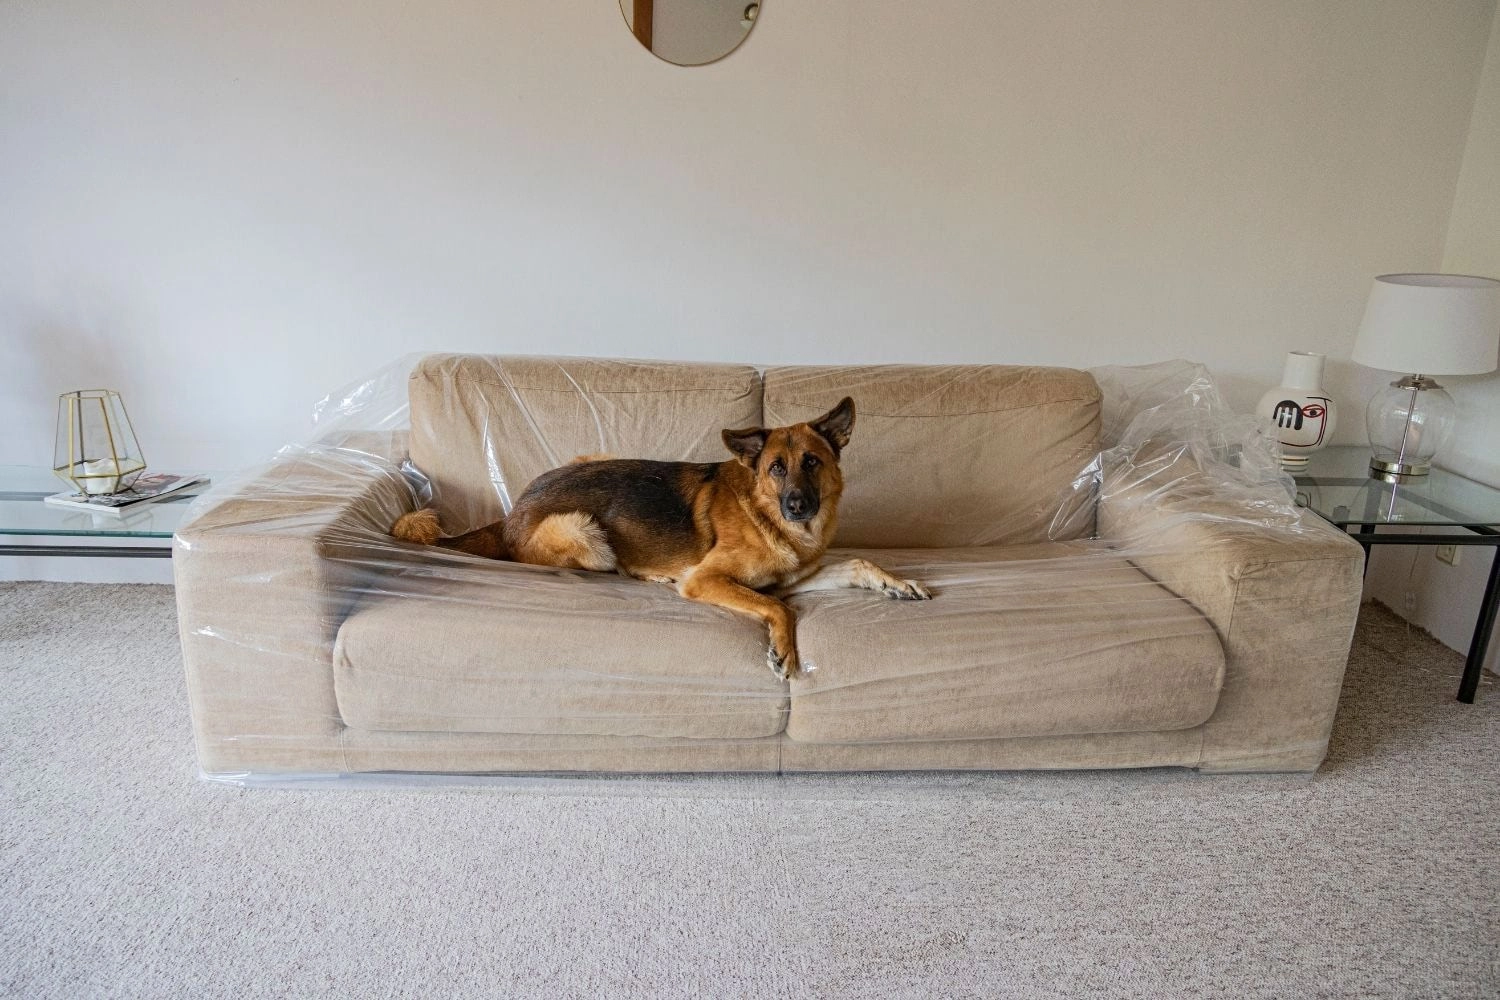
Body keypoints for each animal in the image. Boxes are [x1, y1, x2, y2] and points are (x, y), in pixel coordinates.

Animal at [390, 397, 931, 678]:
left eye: (813, 462)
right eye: (776, 468)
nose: (798, 506)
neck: (772, 518)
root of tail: (513, 509)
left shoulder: (792, 577)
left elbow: (856, 563)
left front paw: (897, 583)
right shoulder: (715, 580)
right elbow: (780, 608)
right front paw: (784, 650)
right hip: (584, 530)